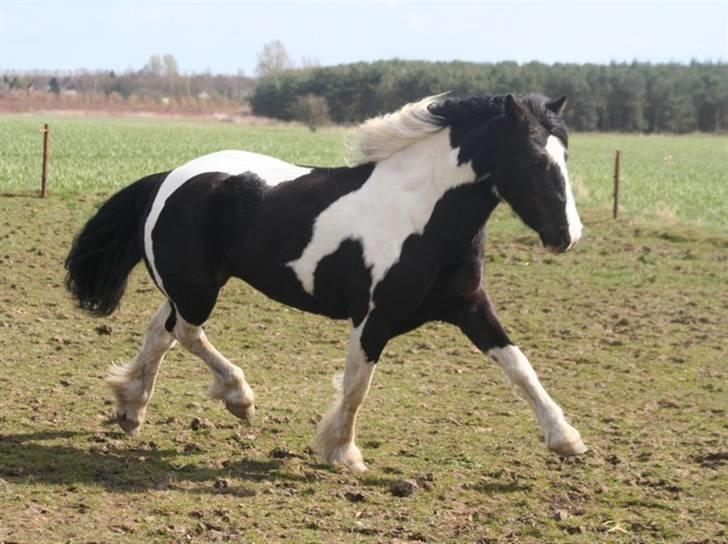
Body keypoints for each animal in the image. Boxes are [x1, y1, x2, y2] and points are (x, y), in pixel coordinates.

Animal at [64, 92, 584, 472]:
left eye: (565, 156)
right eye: (535, 160)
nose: (567, 236)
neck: (422, 215)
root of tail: (169, 177)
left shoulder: (470, 306)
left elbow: (519, 366)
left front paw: (566, 440)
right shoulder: (373, 318)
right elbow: (356, 386)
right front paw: (341, 452)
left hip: (188, 288)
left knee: (162, 333)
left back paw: (131, 409)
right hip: (198, 290)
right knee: (186, 334)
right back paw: (238, 398)